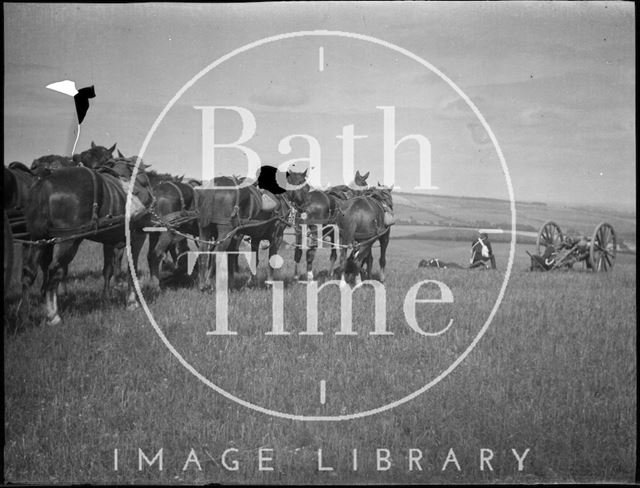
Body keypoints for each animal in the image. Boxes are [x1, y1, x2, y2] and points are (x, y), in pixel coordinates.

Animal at [22, 157, 155, 324]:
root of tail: (45, 182)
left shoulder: (109, 241)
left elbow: (108, 270)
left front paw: (106, 297)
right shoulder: (137, 237)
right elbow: (132, 270)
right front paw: (131, 302)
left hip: (39, 239)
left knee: (29, 272)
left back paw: (24, 313)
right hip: (69, 241)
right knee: (54, 271)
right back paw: (53, 315)